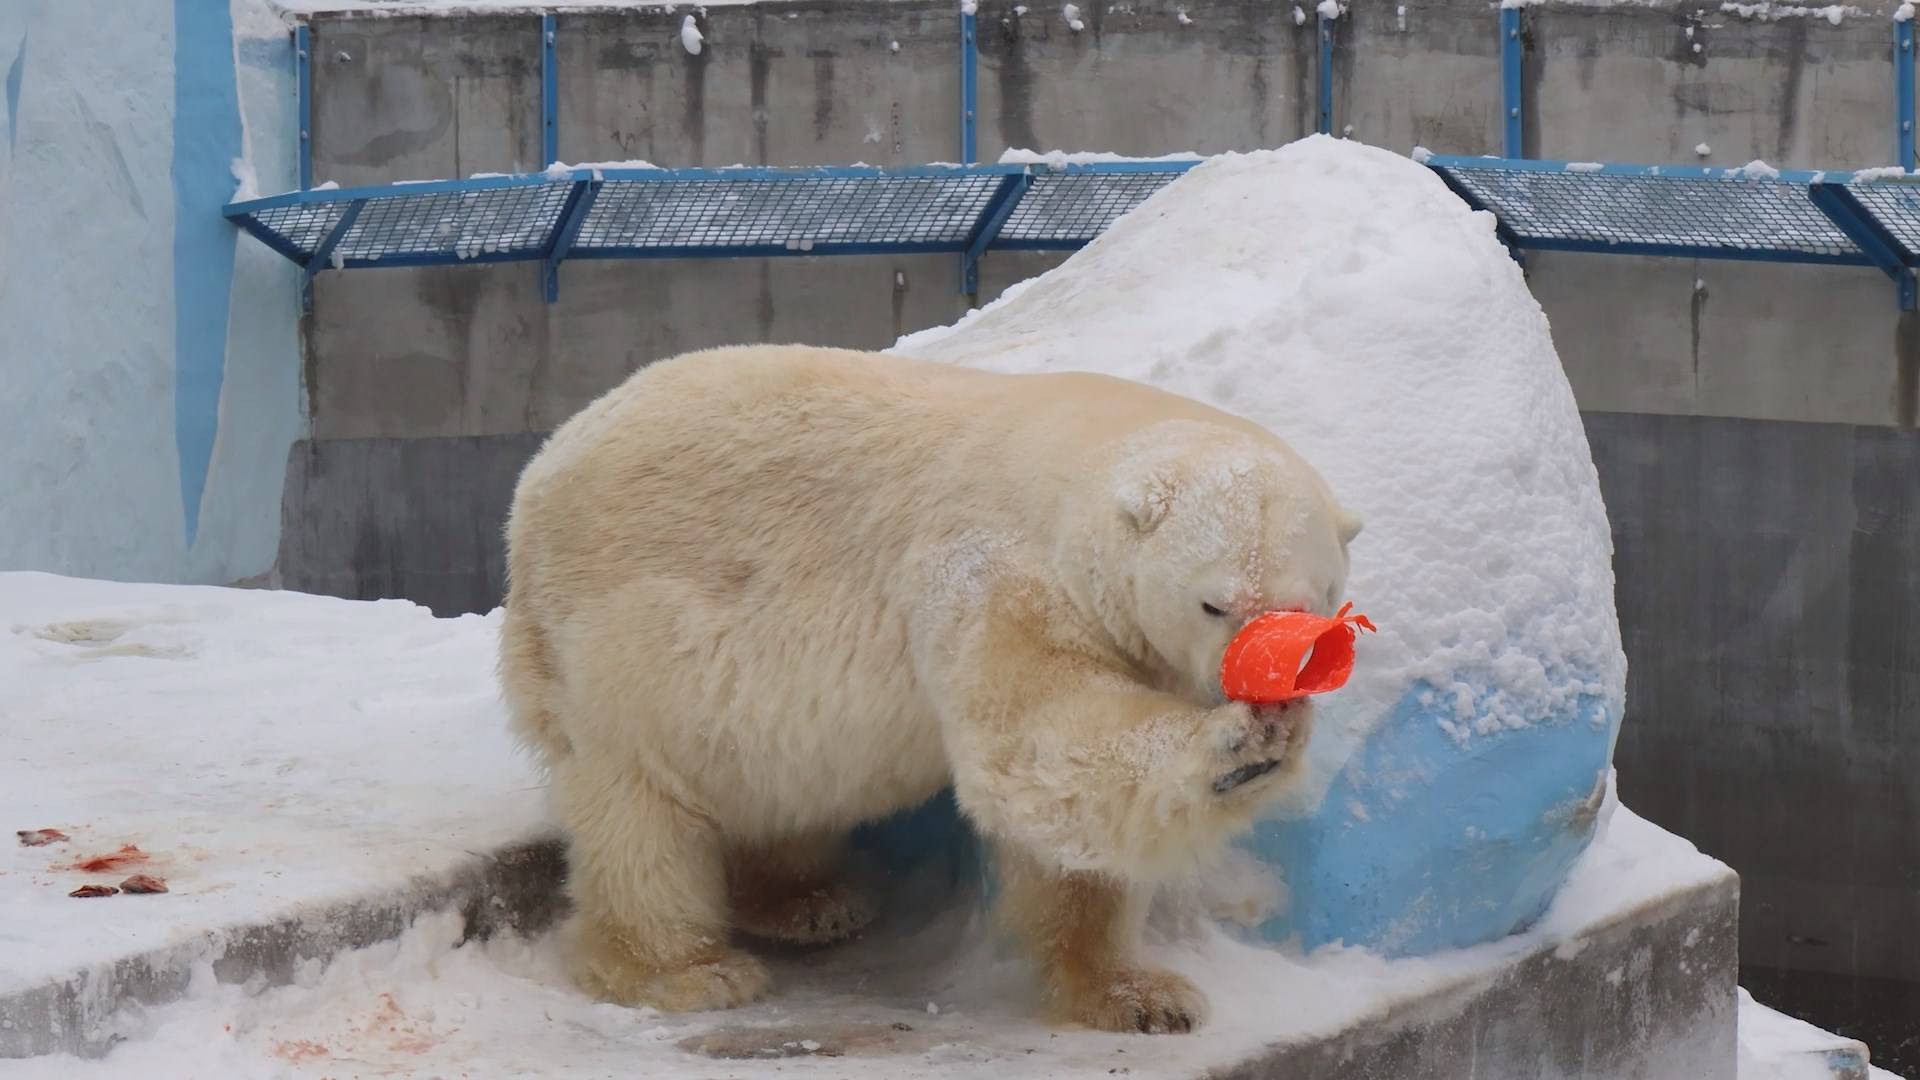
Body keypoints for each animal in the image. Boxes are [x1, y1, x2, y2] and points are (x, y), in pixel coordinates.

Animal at [499, 340, 1367, 1030]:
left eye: (1311, 599)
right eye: (1214, 602)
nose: (1262, 678)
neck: (1073, 470)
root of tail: (538, 471)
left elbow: (1082, 841)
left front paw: (1140, 995)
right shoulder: (990, 570)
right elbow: (1035, 738)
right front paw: (1239, 747)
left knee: (772, 779)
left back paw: (810, 901)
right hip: (613, 648)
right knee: (641, 815)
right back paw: (685, 968)